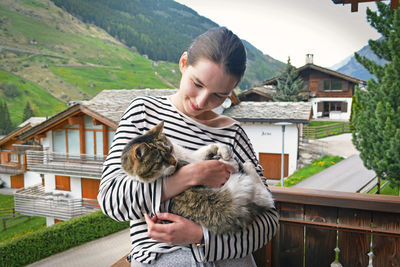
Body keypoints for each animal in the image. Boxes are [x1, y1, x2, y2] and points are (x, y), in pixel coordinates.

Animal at [120, 122, 274, 236]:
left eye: (169, 149)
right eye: (160, 161)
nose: (174, 162)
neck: (180, 157)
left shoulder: (192, 157)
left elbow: (208, 149)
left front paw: (224, 151)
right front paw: (230, 162)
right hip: (245, 187)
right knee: (266, 195)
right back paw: (247, 165)